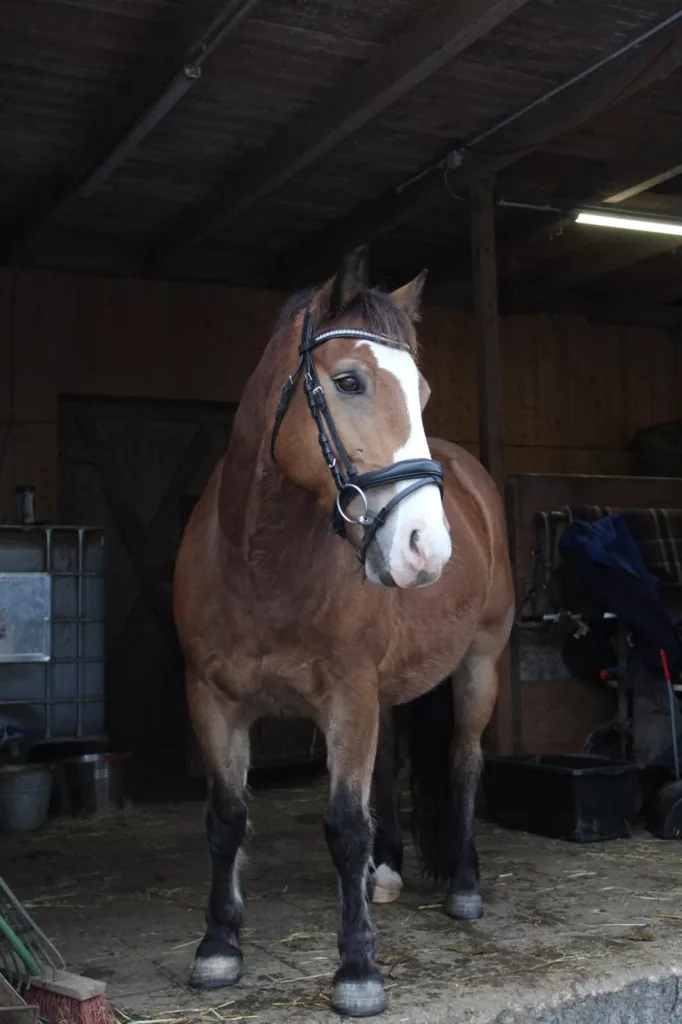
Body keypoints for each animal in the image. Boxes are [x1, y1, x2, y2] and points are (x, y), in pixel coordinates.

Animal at [173, 247, 513, 1018]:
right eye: (350, 380)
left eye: (421, 392)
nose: (426, 548)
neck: (260, 562)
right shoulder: (212, 698)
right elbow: (226, 817)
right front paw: (218, 946)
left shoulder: (348, 697)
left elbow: (343, 825)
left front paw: (358, 969)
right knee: (386, 775)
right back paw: (385, 874)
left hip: (479, 665)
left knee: (464, 763)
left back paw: (465, 887)